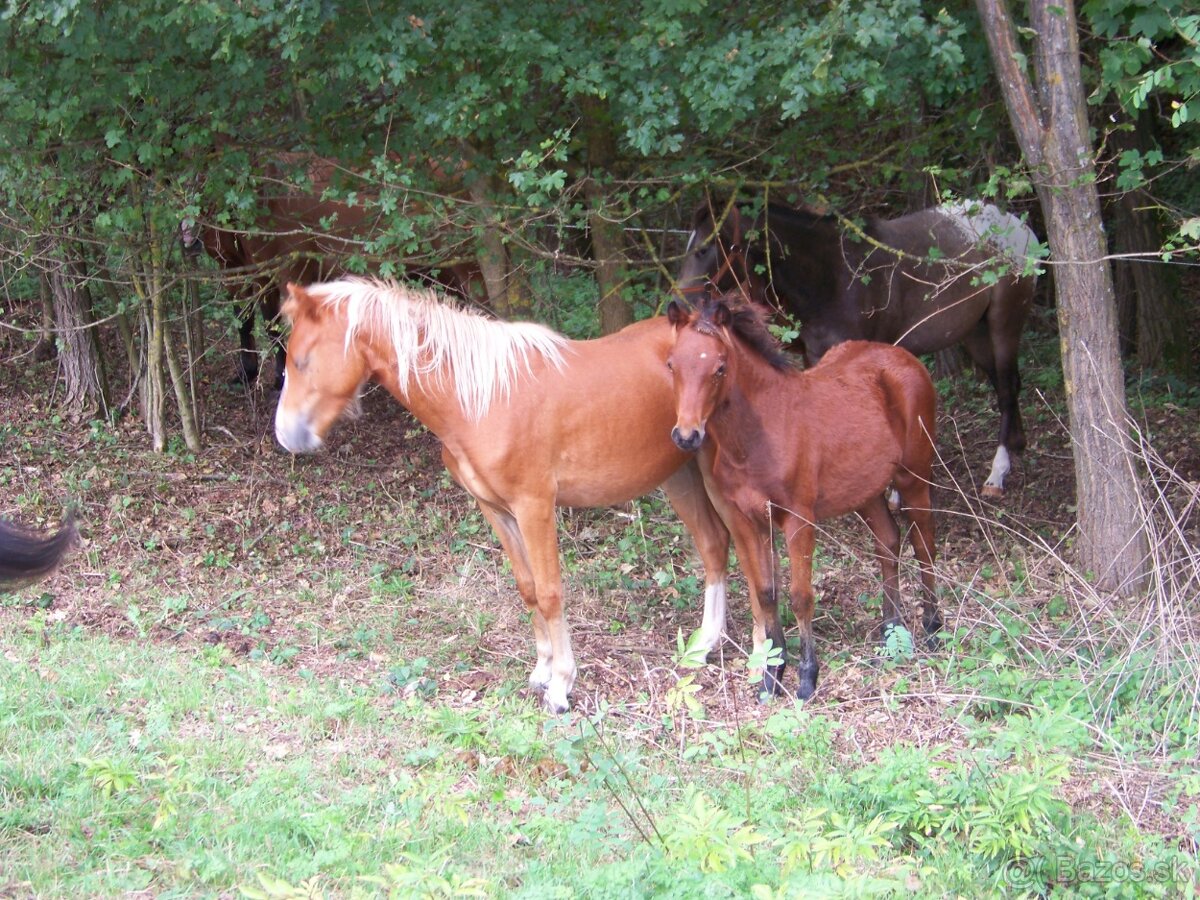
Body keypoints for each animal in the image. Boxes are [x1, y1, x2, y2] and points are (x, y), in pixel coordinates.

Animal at [274, 278, 729, 715]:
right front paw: (543, 670)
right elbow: (527, 588)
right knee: (712, 546)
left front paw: (561, 685)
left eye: (302, 361)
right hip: (679, 475)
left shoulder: (535, 508)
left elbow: (549, 593)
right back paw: (704, 645)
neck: (484, 400)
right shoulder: (496, 510)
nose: (285, 434)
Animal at [667, 292, 936, 700]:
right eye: (671, 365)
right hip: (866, 490)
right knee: (889, 541)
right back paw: (892, 630)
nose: (687, 436)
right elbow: (766, 593)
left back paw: (935, 625)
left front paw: (808, 677)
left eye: (719, 367)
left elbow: (800, 595)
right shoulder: (748, 520)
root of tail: (907, 359)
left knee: (924, 545)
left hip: (914, 477)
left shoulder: (798, 518)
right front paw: (772, 674)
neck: (757, 438)